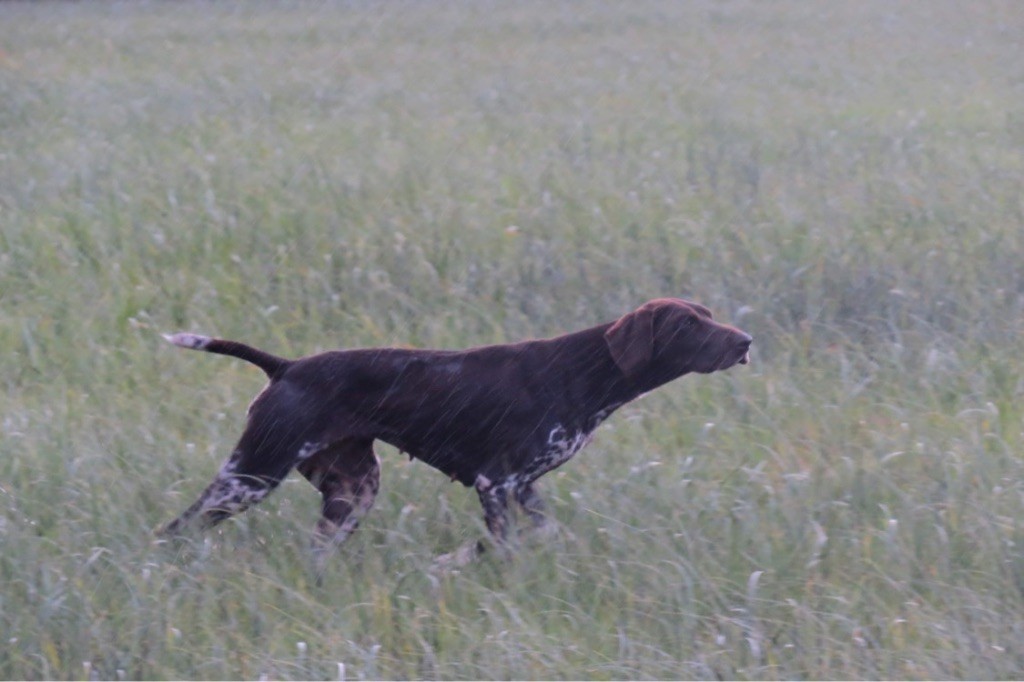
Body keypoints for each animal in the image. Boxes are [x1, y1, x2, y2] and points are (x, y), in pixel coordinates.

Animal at [157, 296, 753, 561]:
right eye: (688, 323)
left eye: (707, 313)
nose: (746, 341)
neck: (582, 372)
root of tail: (286, 366)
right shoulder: (497, 483)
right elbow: (505, 549)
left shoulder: (525, 489)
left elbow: (538, 537)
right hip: (249, 476)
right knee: (173, 531)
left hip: (351, 492)